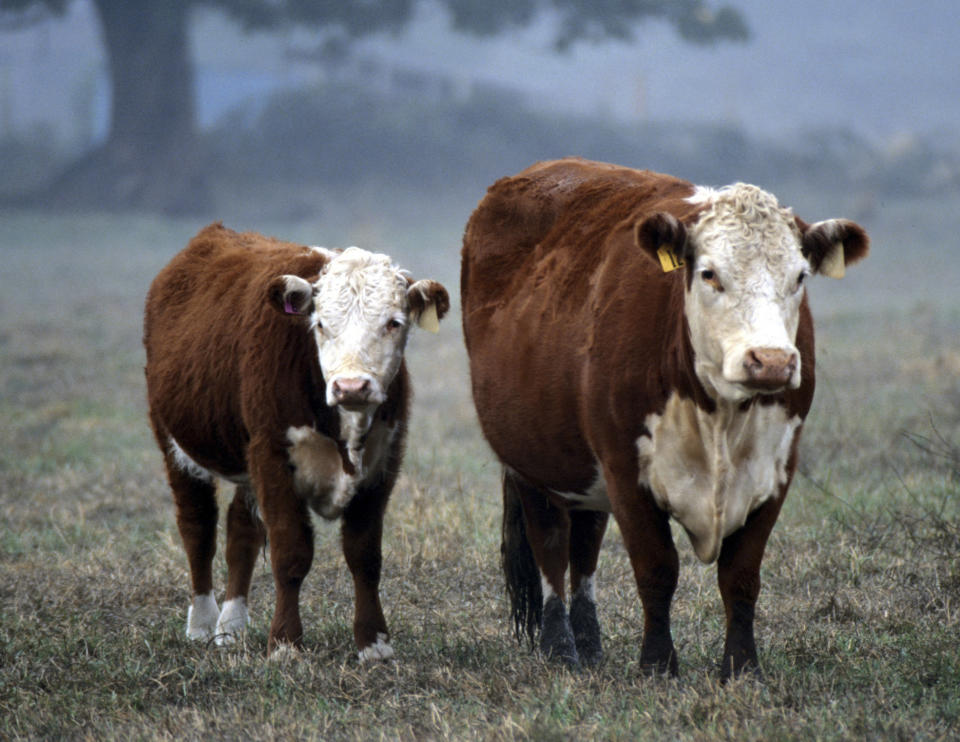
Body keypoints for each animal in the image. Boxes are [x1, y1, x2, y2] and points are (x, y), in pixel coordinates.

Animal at [143, 222, 450, 664]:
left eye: (394, 322)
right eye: (319, 324)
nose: (351, 385)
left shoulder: (383, 463)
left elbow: (365, 556)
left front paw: (374, 644)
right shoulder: (273, 455)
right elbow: (291, 552)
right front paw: (286, 644)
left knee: (241, 531)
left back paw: (231, 627)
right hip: (175, 442)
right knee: (197, 527)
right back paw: (202, 623)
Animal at [460, 157, 872, 680]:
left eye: (799, 276)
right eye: (710, 273)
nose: (772, 361)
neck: (720, 415)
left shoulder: (776, 469)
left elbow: (741, 575)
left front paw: (741, 667)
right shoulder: (624, 466)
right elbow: (657, 568)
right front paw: (657, 665)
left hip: (582, 464)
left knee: (585, 546)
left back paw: (589, 643)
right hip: (532, 459)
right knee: (551, 546)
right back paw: (560, 647)